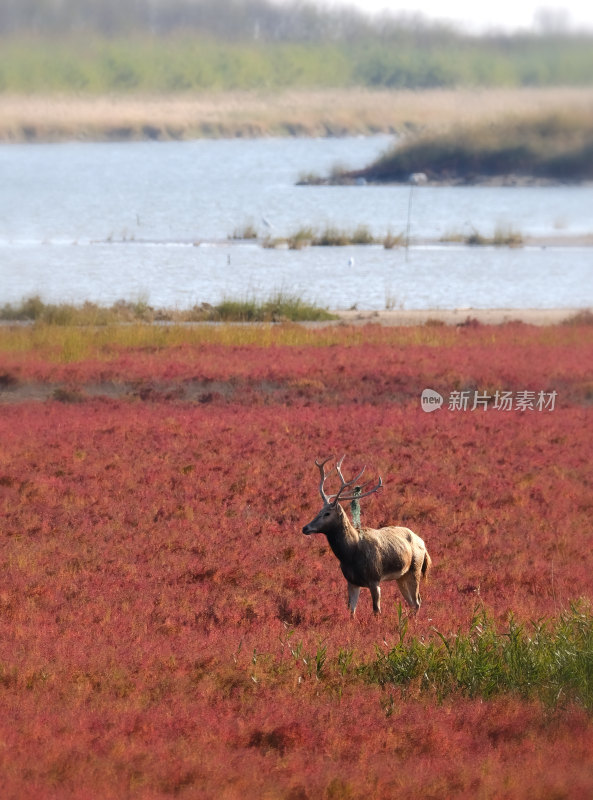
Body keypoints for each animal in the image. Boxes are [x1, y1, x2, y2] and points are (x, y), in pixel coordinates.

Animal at [300, 454, 430, 616]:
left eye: (327, 513)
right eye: (319, 511)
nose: (305, 528)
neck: (350, 554)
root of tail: (423, 543)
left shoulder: (375, 579)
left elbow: (376, 611)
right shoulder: (351, 581)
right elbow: (351, 611)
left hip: (415, 569)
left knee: (417, 601)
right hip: (402, 576)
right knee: (413, 602)